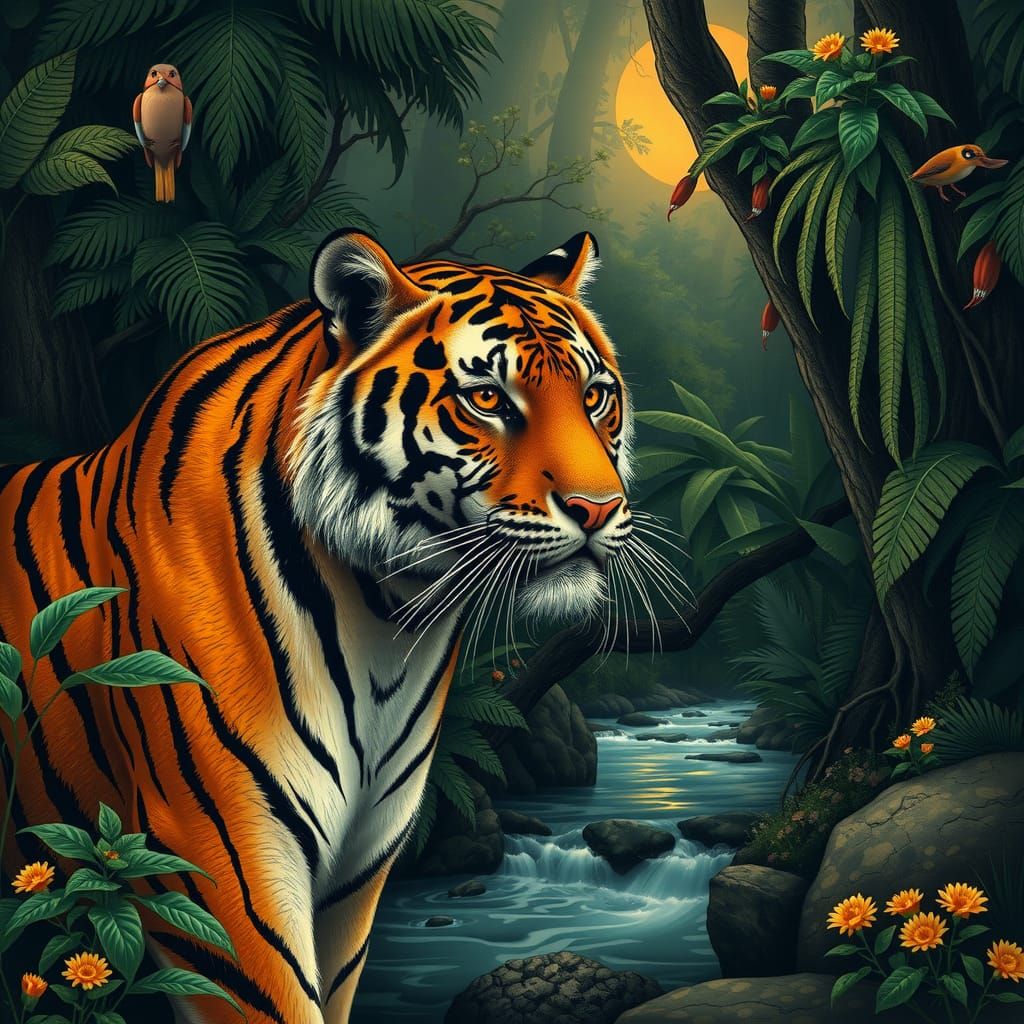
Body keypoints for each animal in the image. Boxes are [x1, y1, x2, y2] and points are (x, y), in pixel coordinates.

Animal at [0, 229, 649, 1024]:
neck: (387, 622)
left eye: (594, 397)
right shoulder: (218, 852)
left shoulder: (357, 865)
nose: (598, 508)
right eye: (488, 399)